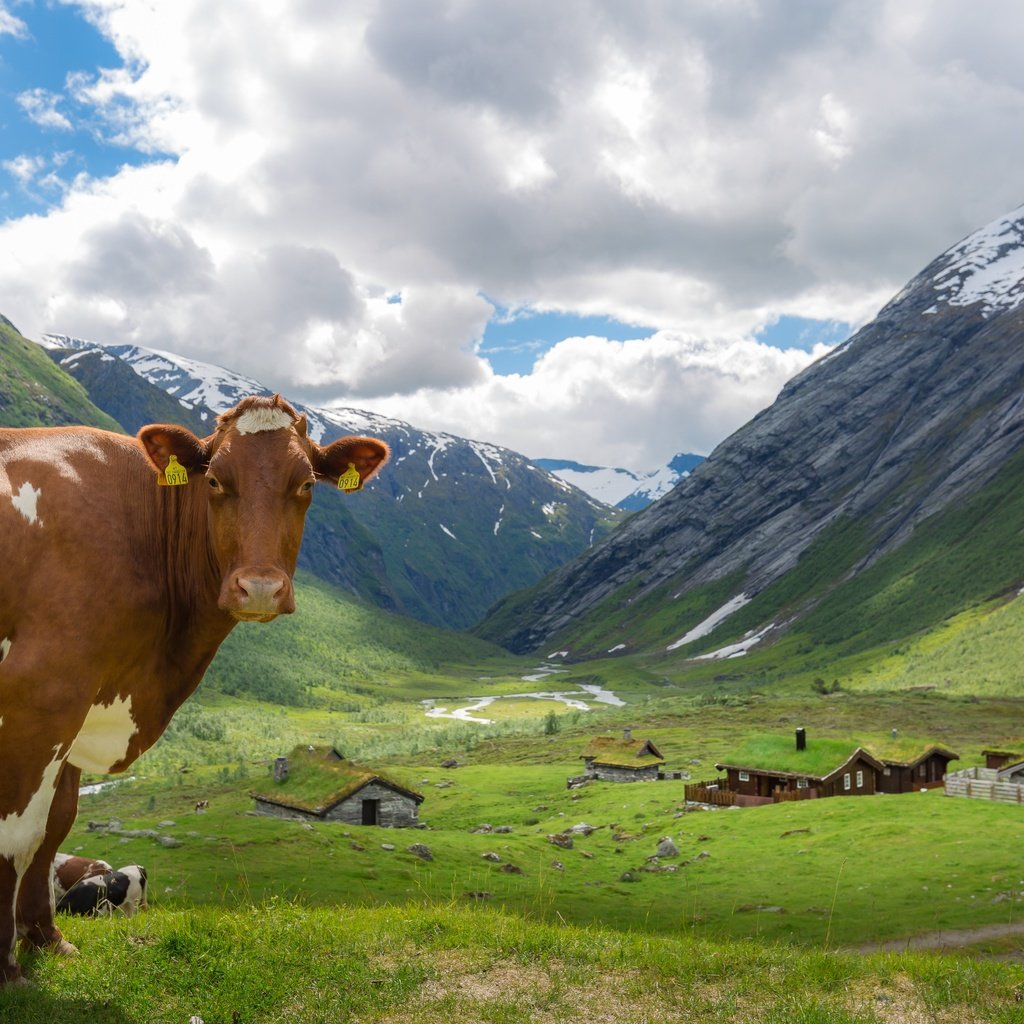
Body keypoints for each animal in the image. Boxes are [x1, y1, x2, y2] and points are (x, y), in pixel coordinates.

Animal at [0, 393, 387, 983]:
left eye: (306, 484)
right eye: (216, 481)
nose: (260, 588)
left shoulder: (78, 705)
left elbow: (55, 824)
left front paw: (46, 939)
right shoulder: (42, 691)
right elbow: (17, 833)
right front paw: (6, 967)